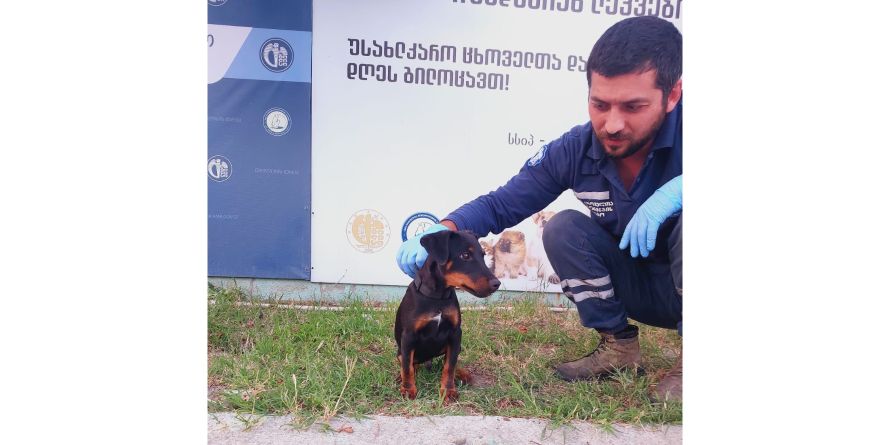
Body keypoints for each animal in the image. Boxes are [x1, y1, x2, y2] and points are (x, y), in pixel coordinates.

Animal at [398, 231, 502, 400]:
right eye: (465, 255)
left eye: (483, 255)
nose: (496, 284)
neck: (438, 297)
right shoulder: (408, 335)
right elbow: (407, 367)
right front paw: (408, 389)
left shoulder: (455, 334)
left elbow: (449, 365)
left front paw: (448, 391)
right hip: (401, 350)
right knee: (409, 362)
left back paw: (462, 374)